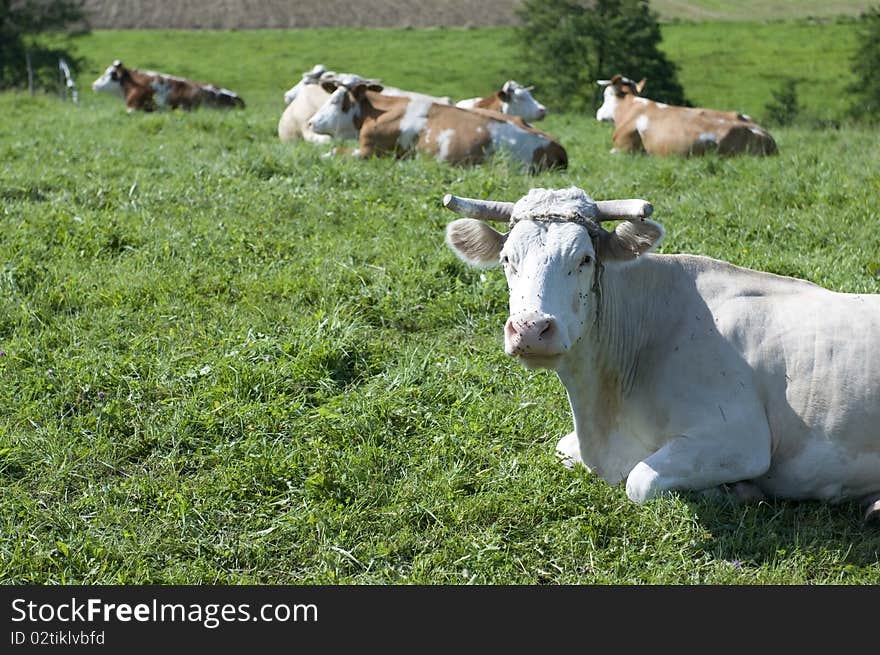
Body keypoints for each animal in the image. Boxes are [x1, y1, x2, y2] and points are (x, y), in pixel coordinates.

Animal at [444, 186, 880, 524]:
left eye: (584, 259)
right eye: (507, 260)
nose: (532, 329)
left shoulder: (739, 436)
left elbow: (640, 481)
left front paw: (736, 491)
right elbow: (563, 449)